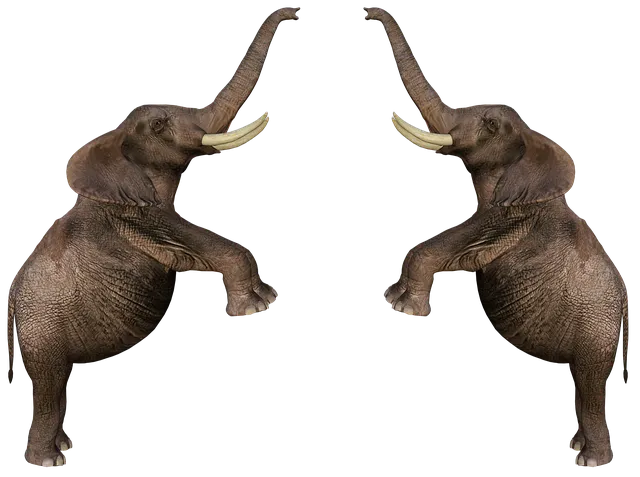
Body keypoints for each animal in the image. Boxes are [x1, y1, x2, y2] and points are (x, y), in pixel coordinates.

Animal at [5, 7, 300, 469]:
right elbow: (198, 242)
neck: (111, 143)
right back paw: (50, 461)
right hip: (43, 330)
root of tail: (13, 305)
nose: (294, 11)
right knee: (52, 382)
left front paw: (263, 301)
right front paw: (258, 308)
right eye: (159, 124)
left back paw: (62, 450)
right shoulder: (141, 218)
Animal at [364, 7, 630, 470]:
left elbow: (457, 241)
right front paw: (398, 301)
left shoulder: (509, 219)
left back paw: (588, 461)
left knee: (588, 381)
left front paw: (402, 308)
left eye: (490, 125)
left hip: (596, 330)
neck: (534, 141)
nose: (369, 11)